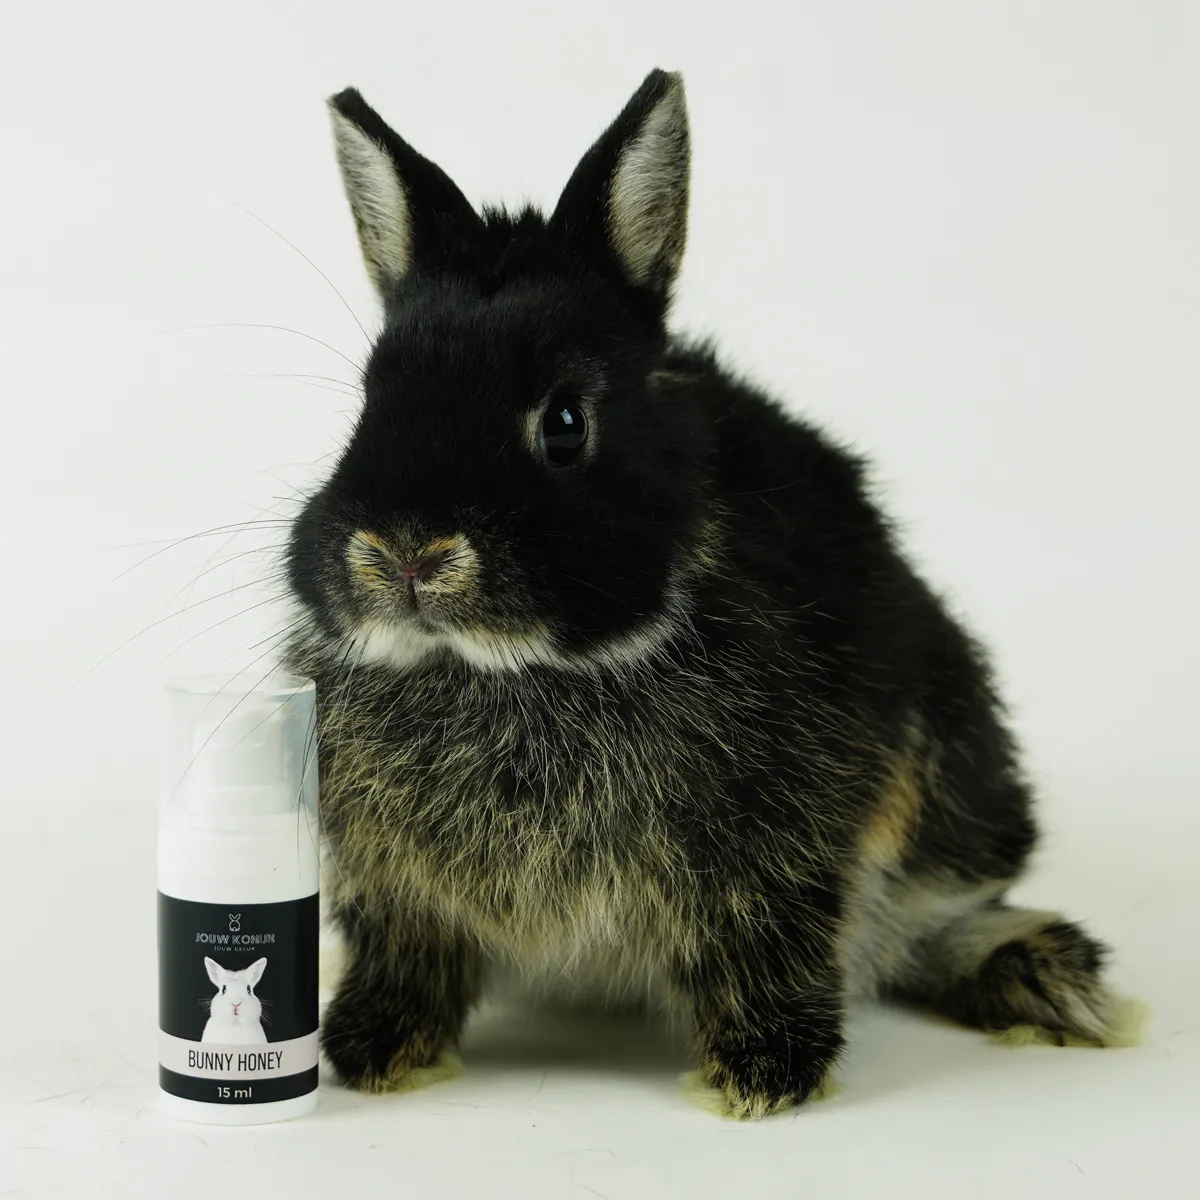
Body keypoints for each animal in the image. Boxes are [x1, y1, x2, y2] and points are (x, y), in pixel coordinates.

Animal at [284, 69, 1128, 1118]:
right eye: (367, 406)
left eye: (566, 423)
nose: (406, 552)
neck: (518, 673)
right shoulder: (395, 890)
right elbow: (406, 955)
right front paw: (373, 1054)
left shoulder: (782, 853)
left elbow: (774, 946)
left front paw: (762, 1077)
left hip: (961, 792)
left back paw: (1051, 980)